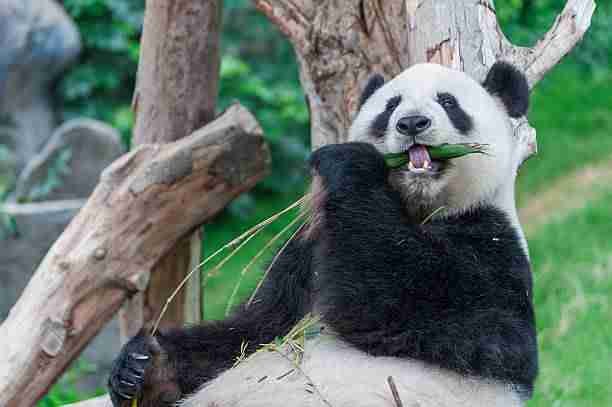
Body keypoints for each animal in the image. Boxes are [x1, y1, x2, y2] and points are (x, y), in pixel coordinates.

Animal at [107, 61, 536, 407]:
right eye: (390, 106)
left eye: (448, 102)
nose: (412, 123)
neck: (415, 207)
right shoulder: (306, 250)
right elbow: (256, 329)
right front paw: (144, 367)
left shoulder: (490, 245)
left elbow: (428, 316)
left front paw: (351, 164)